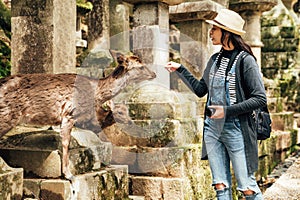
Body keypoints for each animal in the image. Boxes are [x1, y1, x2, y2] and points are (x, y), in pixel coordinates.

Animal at [0, 52, 156, 179]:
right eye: (141, 66)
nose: (154, 74)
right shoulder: (69, 114)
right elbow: (66, 143)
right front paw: (68, 175)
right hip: (7, 115)